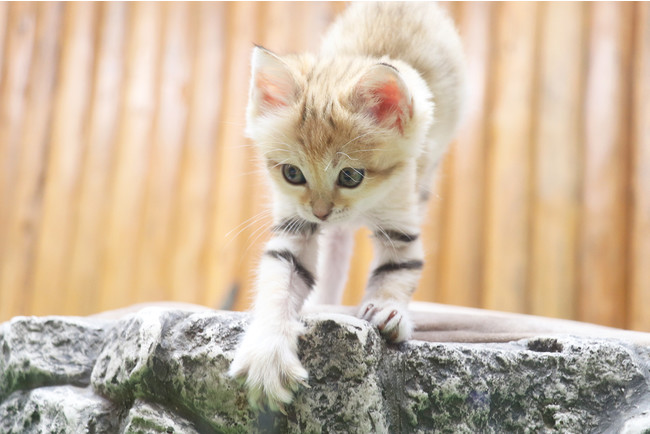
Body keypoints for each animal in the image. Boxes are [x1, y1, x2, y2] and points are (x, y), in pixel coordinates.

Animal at [230, 2, 464, 410]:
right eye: (292, 173)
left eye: (351, 176)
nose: (321, 211)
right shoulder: (295, 226)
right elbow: (279, 279)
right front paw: (267, 353)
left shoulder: (401, 214)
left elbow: (399, 269)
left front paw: (388, 307)